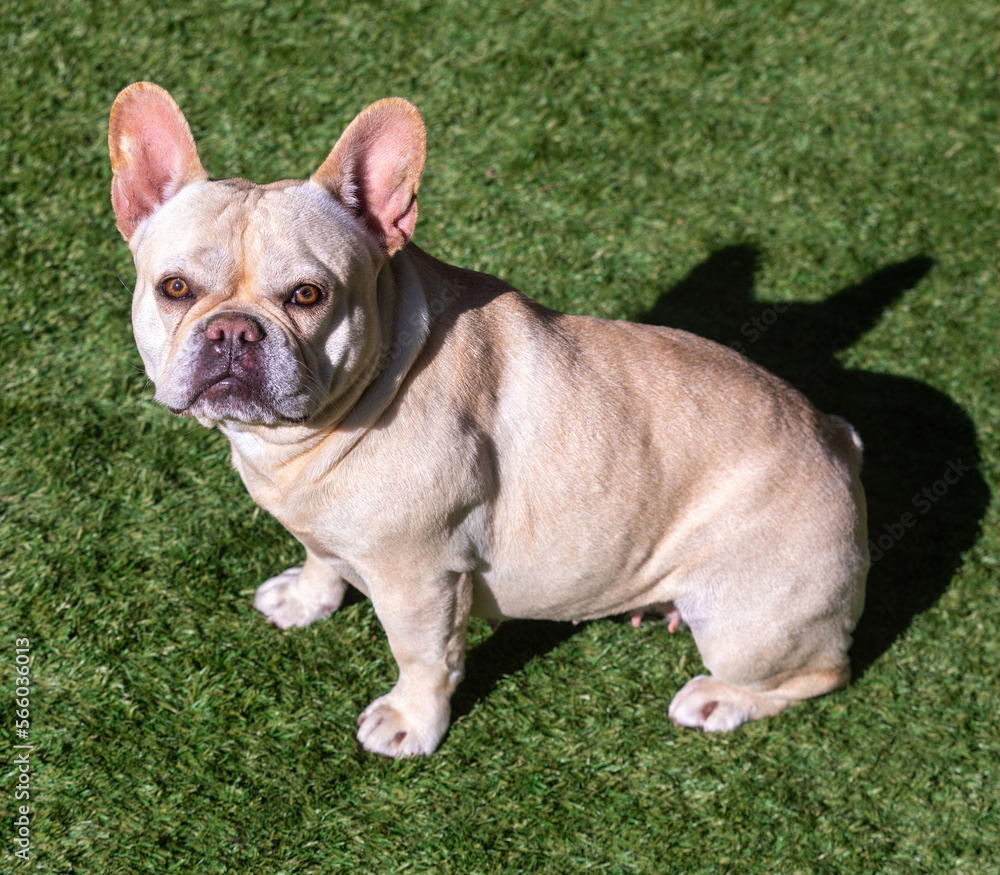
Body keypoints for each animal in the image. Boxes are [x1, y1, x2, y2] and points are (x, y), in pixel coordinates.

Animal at [107, 84, 868, 760]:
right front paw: (306, 595)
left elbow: (423, 657)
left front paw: (411, 722)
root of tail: (839, 441)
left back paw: (720, 697)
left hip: (744, 621)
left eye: (308, 296)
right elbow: (322, 557)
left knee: (819, 674)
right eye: (174, 288)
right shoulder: (326, 528)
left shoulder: (421, 578)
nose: (233, 331)